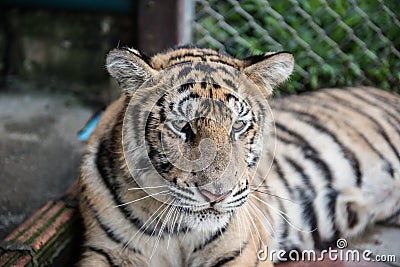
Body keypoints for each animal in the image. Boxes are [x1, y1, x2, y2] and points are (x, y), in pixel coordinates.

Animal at [79, 45, 400, 266]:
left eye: (237, 126)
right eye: (183, 126)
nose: (216, 195)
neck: (178, 233)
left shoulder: (242, 252)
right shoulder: (105, 251)